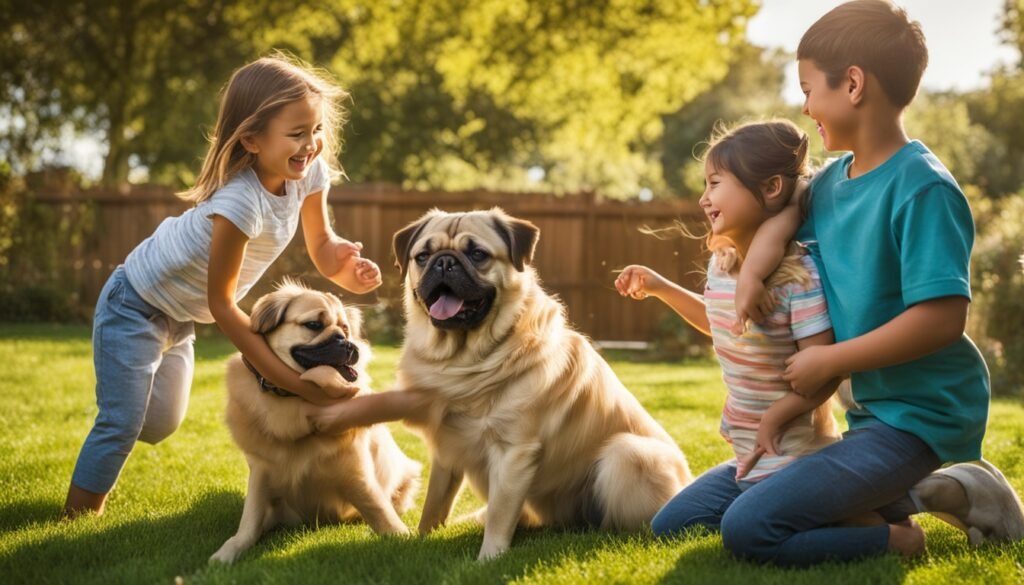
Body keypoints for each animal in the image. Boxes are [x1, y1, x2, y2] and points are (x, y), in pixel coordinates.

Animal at [211, 280, 419, 565]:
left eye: (345, 329)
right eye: (314, 325)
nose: (348, 344)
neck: (290, 398)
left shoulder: (355, 472)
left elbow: (378, 509)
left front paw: (401, 537)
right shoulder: (262, 471)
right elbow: (249, 523)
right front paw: (228, 552)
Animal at [391, 207, 696, 561]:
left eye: (477, 254)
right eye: (423, 256)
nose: (444, 262)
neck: (465, 358)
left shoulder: (514, 452)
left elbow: (500, 513)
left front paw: (488, 559)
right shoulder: (447, 449)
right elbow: (435, 503)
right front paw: (422, 540)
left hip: (629, 453)